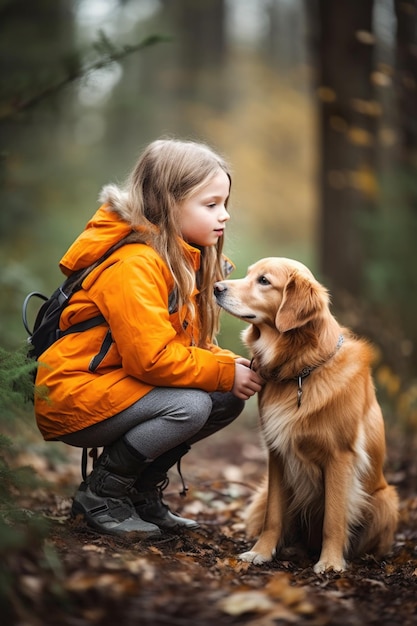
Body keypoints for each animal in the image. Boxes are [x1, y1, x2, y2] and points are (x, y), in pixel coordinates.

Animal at [214, 255, 396, 572]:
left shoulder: (340, 456)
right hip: (261, 494)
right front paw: (261, 551)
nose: (215, 287)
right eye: (247, 274)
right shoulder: (277, 454)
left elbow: (334, 519)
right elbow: (273, 516)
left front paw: (331, 562)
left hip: (387, 500)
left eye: (264, 280)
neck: (300, 370)